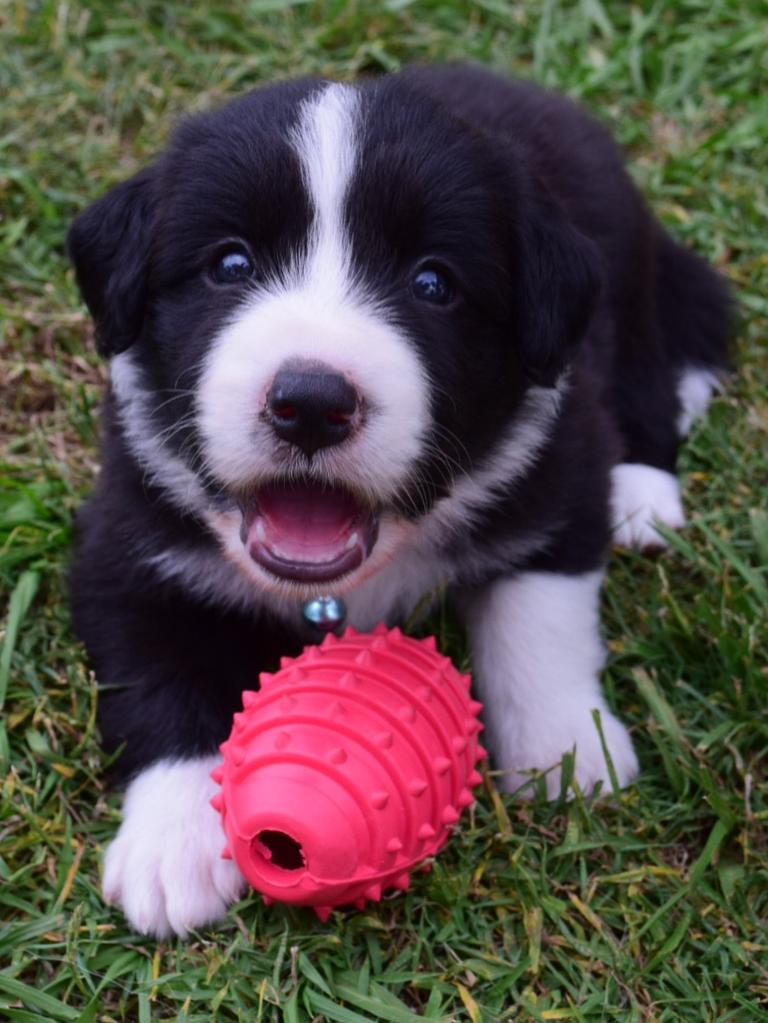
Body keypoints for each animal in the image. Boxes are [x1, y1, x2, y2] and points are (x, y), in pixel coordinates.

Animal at [67, 65, 732, 941]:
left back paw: (645, 494)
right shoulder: (128, 537)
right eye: (229, 263)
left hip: (626, 277)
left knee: (650, 369)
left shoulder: (561, 464)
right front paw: (172, 848)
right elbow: (158, 676)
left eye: (432, 283)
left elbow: (540, 619)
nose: (311, 403)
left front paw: (565, 752)